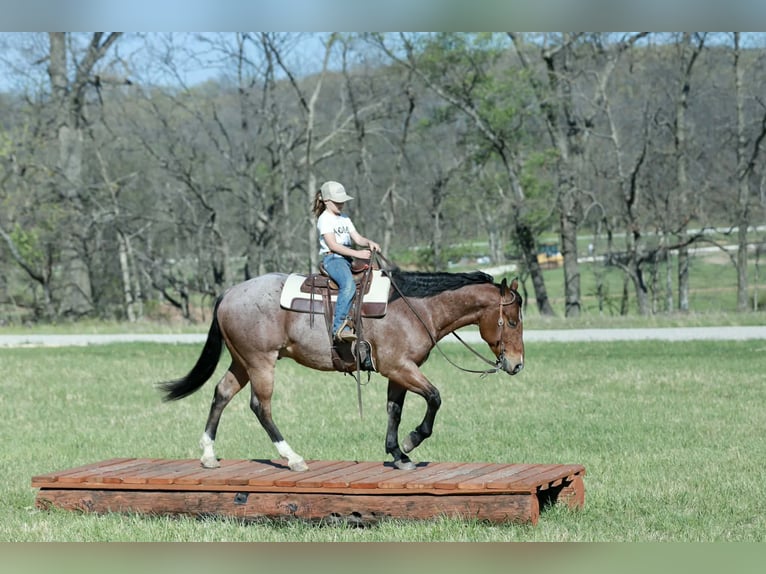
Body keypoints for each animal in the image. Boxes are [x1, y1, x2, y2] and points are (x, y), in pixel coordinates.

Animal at [158, 268, 524, 471]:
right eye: (512, 321)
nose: (517, 364)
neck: (414, 308)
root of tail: (229, 293)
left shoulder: (397, 372)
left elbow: (394, 410)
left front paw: (397, 453)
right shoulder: (400, 367)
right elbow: (434, 398)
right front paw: (410, 443)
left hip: (242, 362)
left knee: (221, 393)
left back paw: (208, 454)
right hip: (261, 362)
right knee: (260, 406)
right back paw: (293, 458)